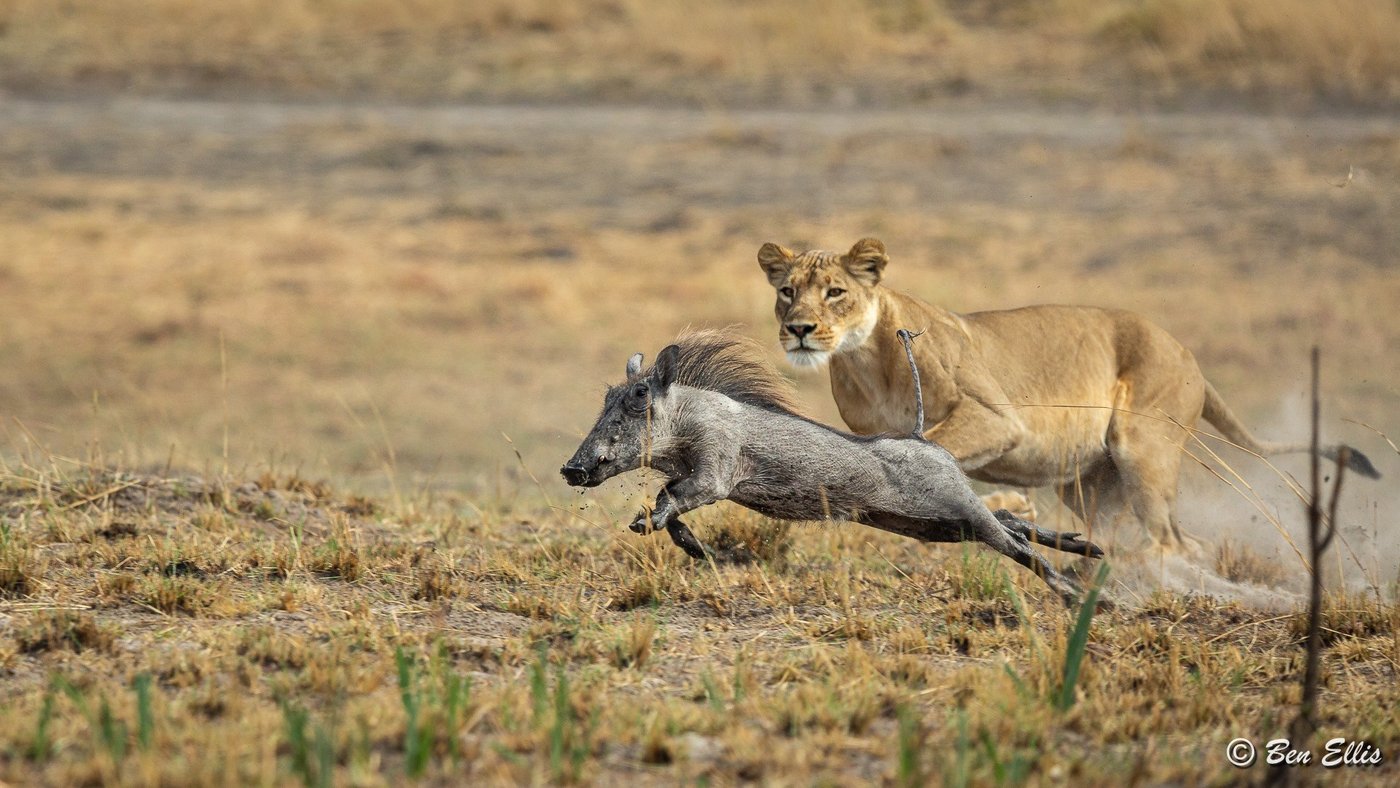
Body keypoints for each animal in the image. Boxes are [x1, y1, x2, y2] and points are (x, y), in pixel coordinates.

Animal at [757, 237, 1380, 552]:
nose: (799, 329)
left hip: (1144, 451)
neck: (862, 360)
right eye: (787, 291)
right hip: (1092, 484)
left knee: (1175, 541)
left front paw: (1006, 503)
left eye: (835, 292)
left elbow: (938, 452)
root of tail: (1191, 357)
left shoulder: (997, 418)